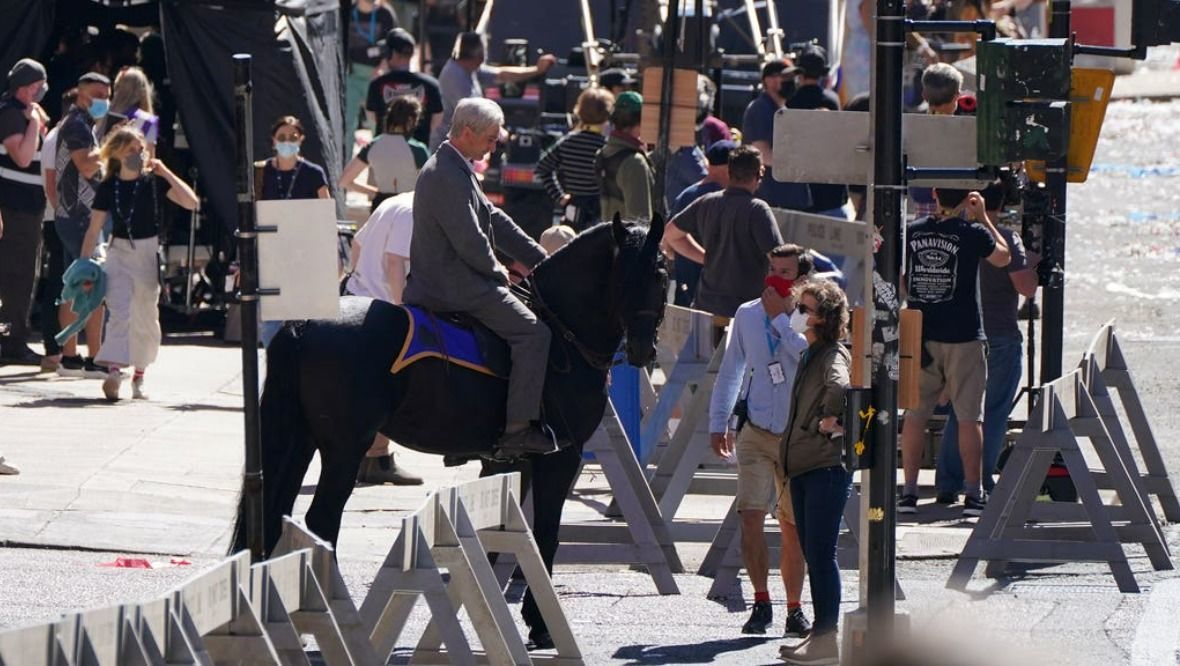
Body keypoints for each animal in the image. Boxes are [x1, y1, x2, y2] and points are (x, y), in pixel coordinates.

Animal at [227, 214, 665, 628]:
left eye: (660, 273)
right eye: (646, 273)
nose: (644, 349)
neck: (562, 335)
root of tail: (305, 324)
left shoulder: (512, 461)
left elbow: (504, 537)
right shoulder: (562, 456)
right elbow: (545, 534)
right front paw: (537, 621)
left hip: (300, 440)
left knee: (277, 516)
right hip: (344, 449)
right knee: (321, 520)